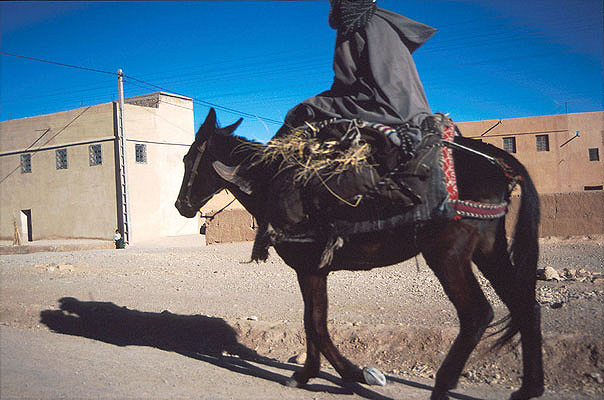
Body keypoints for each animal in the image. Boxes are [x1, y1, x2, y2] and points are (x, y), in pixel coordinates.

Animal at [173, 109, 544, 400]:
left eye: (188, 159)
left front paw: (349, 373)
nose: (180, 206)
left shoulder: (308, 269)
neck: (270, 180)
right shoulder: (315, 270)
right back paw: (529, 388)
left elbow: (315, 323)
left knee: (477, 314)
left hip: (447, 255)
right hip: (489, 250)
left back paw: (443, 387)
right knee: (525, 306)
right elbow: (313, 321)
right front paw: (312, 373)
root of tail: (498, 162)